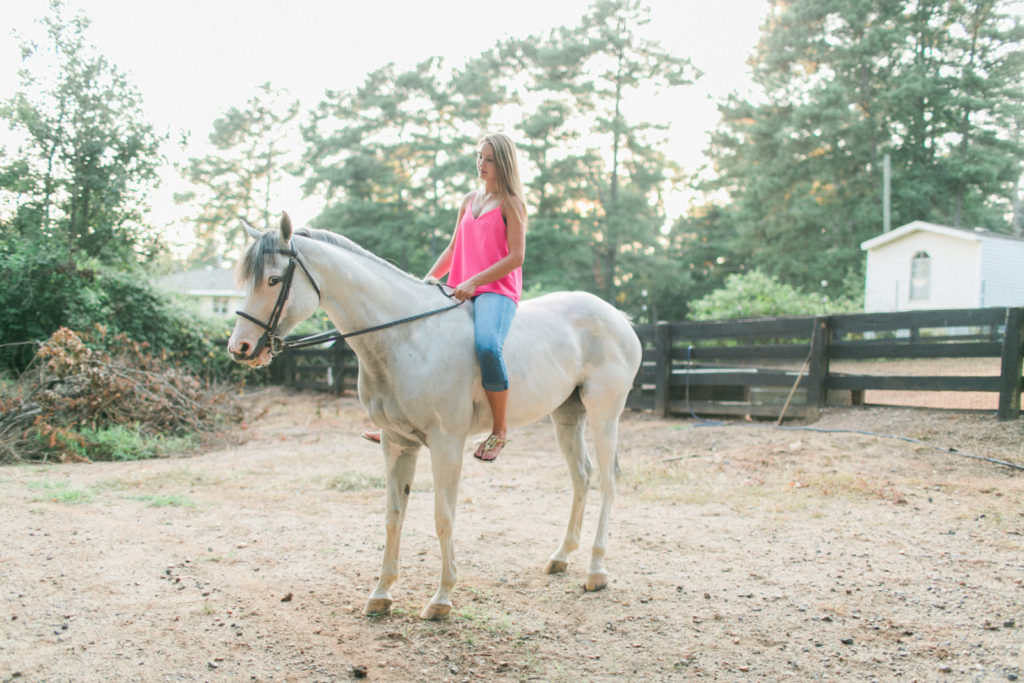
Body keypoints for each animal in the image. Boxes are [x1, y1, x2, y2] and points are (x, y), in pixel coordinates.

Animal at [227, 216, 638, 622]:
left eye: (273, 280)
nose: (240, 348)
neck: (407, 337)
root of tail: (615, 316)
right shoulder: (396, 443)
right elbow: (393, 515)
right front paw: (381, 594)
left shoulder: (446, 443)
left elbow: (444, 517)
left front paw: (441, 599)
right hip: (567, 416)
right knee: (582, 477)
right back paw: (561, 557)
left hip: (603, 414)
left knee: (609, 480)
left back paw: (596, 571)